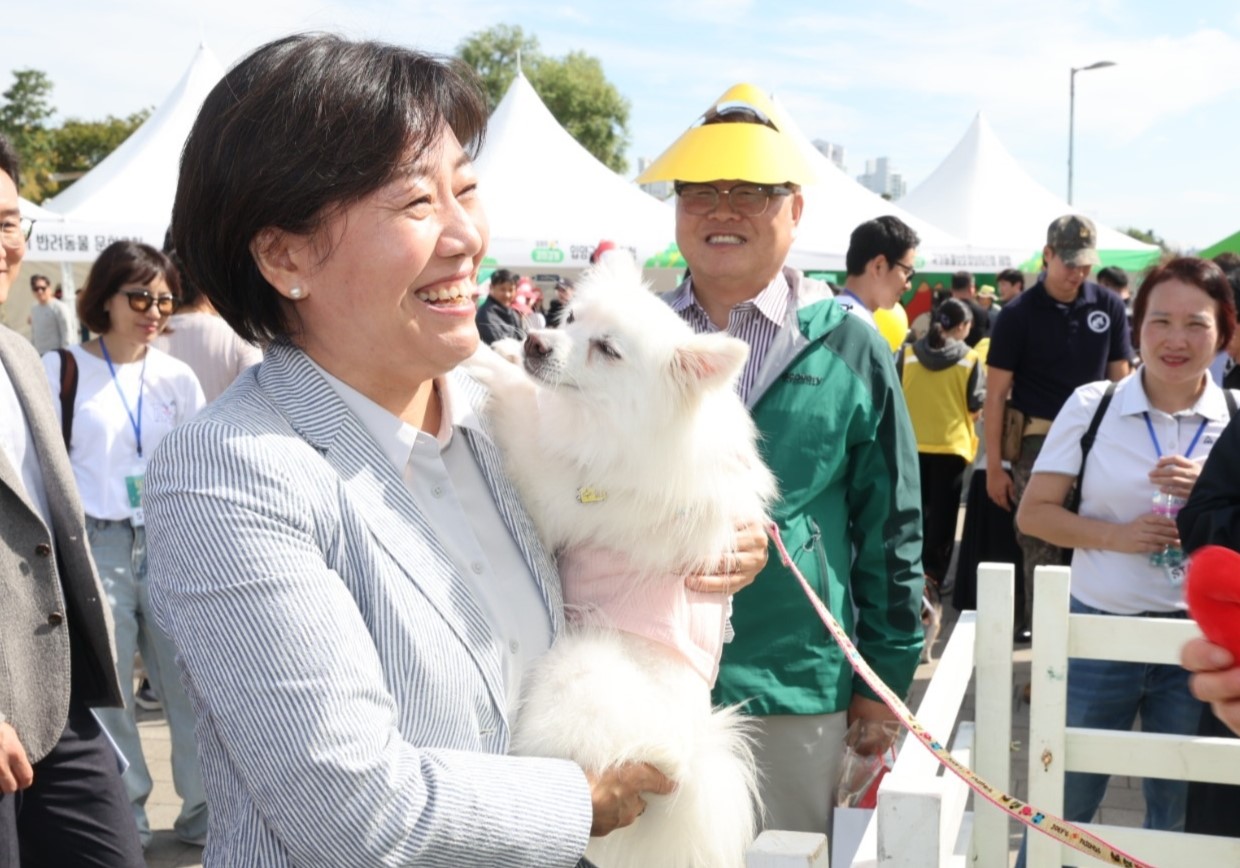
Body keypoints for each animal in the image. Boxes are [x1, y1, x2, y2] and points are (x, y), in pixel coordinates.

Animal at [471, 255, 773, 868]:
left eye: (607, 350)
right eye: (568, 320)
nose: (534, 341)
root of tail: (687, 761)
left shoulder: (558, 487)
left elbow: (526, 418)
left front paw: (489, 366)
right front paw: (505, 354)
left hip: (576, 666)